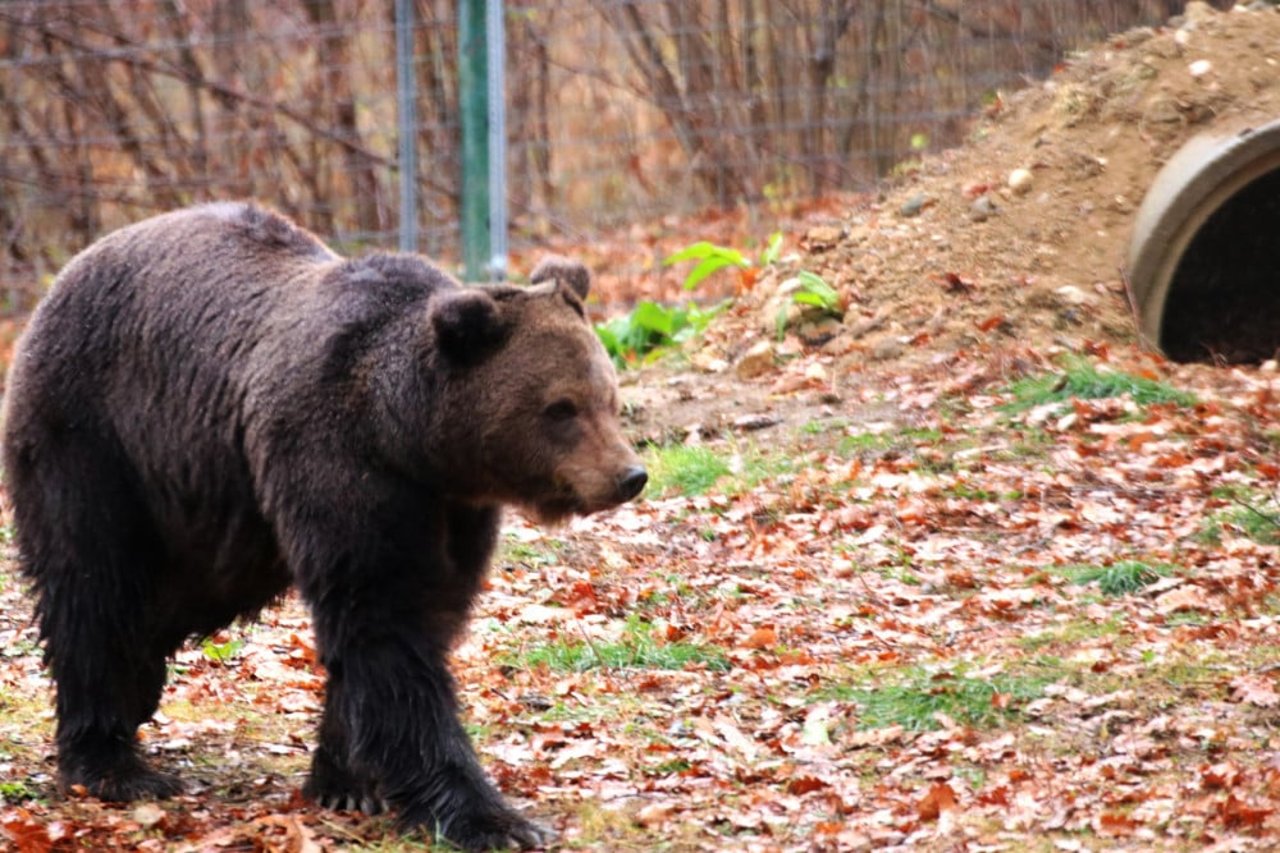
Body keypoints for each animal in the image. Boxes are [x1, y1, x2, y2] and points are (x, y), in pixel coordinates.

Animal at [0, 202, 640, 845]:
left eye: (609, 398)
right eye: (561, 408)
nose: (629, 475)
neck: (409, 437)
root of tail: (65, 277)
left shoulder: (450, 511)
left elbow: (421, 615)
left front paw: (348, 782)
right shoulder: (338, 459)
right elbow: (387, 624)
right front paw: (489, 817)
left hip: (207, 504)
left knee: (168, 598)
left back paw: (138, 687)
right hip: (96, 440)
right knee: (92, 586)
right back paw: (111, 763)